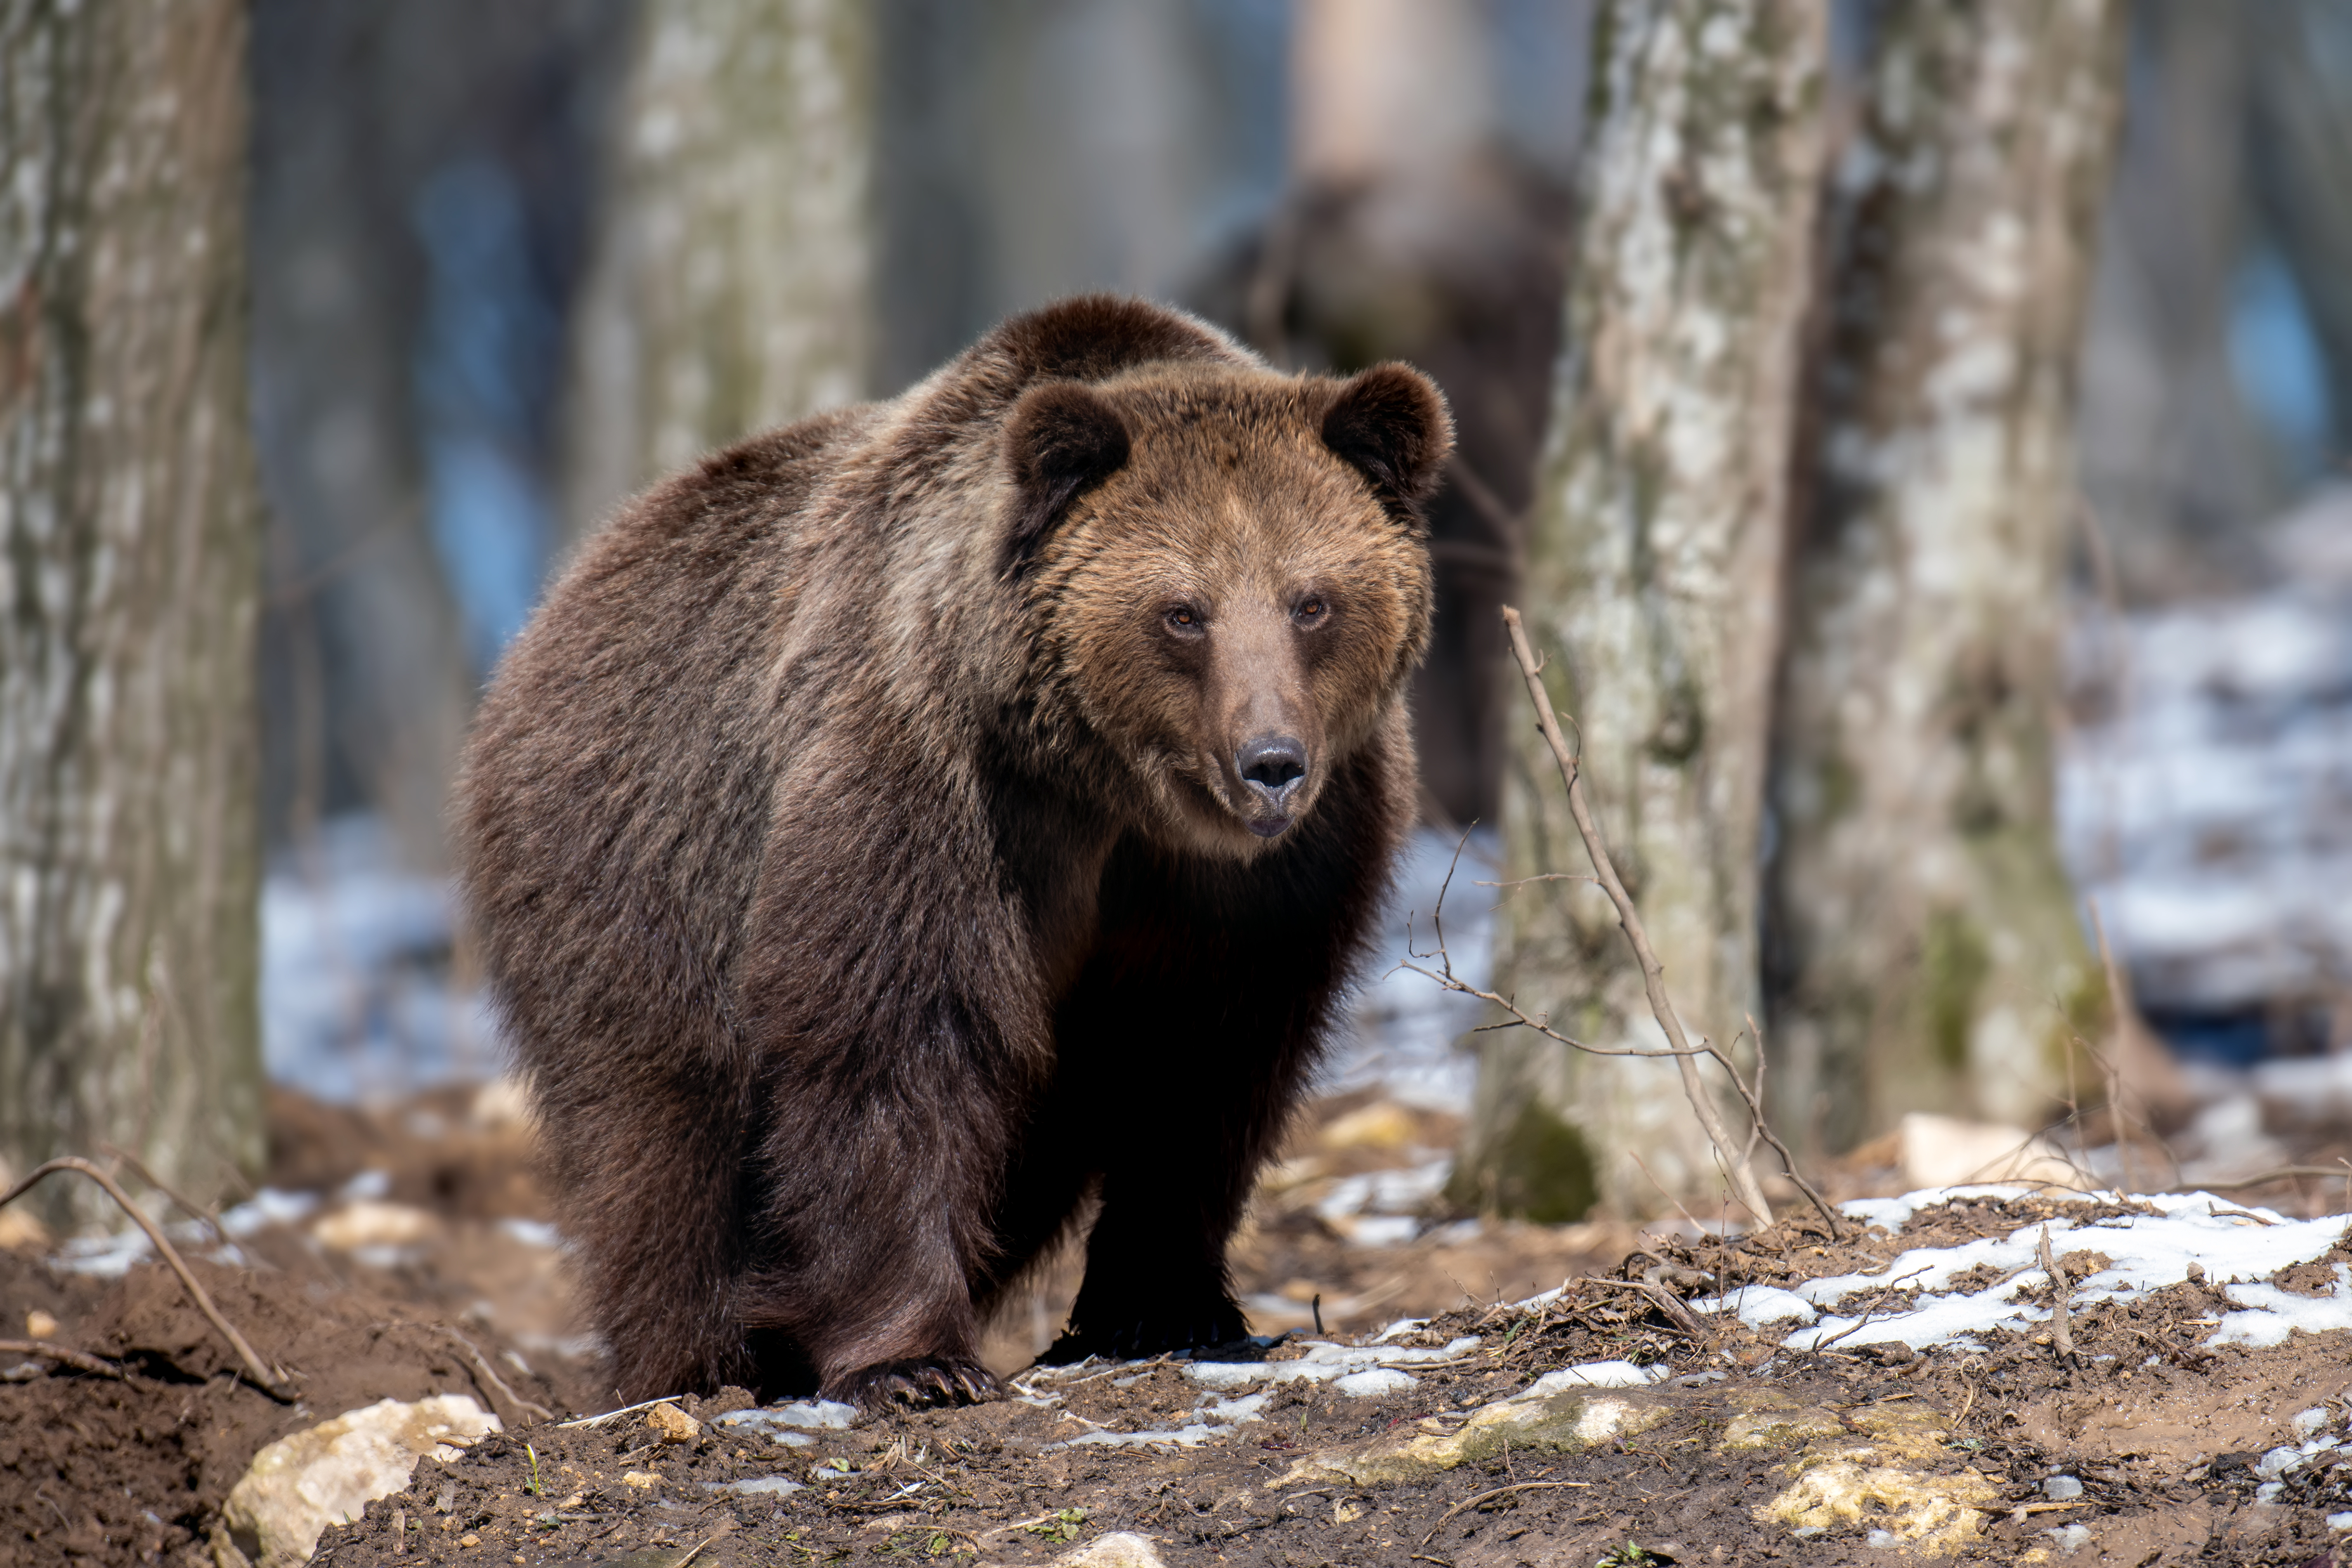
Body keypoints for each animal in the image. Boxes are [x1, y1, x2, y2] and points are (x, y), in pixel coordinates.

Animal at [454, 295, 1449, 1410]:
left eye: (1311, 599)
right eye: (1182, 611)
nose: (1270, 762)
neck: (1113, 793)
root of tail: (554, 604)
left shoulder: (1275, 872)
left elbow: (1209, 1059)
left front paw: (1168, 1304)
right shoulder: (936, 779)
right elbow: (894, 1029)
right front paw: (915, 1359)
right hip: (640, 861)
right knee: (660, 1135)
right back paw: (698, 1361)